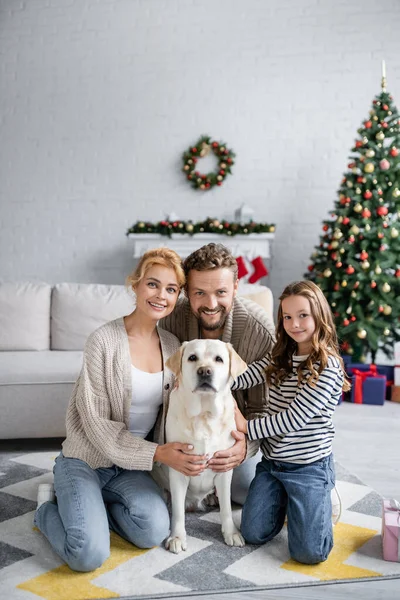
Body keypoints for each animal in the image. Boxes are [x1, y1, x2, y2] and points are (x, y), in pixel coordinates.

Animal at [163, 340, 247, 556]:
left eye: (219, 359)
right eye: (192, 357)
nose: (205, 371)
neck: (204, 415)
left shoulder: (224, 467)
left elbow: (226, 508)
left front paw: (231, 533)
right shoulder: (178, 469)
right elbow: (178, 512)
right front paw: (177, 537)